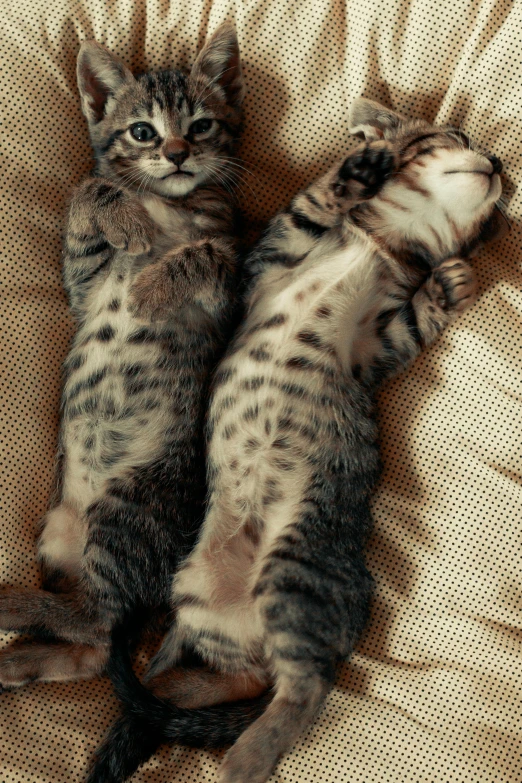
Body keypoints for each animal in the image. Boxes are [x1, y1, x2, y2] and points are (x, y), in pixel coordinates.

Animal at [0, 23, 243, 692]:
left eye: (203, 125)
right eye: (143, 132)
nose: (179, 153)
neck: (169, 204)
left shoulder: (232, 281)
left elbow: (202, 253)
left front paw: (149, 287)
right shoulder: (82, 283)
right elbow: (91, 188)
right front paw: (124, 219)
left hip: (126, 505)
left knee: (98, 627)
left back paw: (12, 611)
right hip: (58, 532)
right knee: (93, 639)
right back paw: (21, 648)